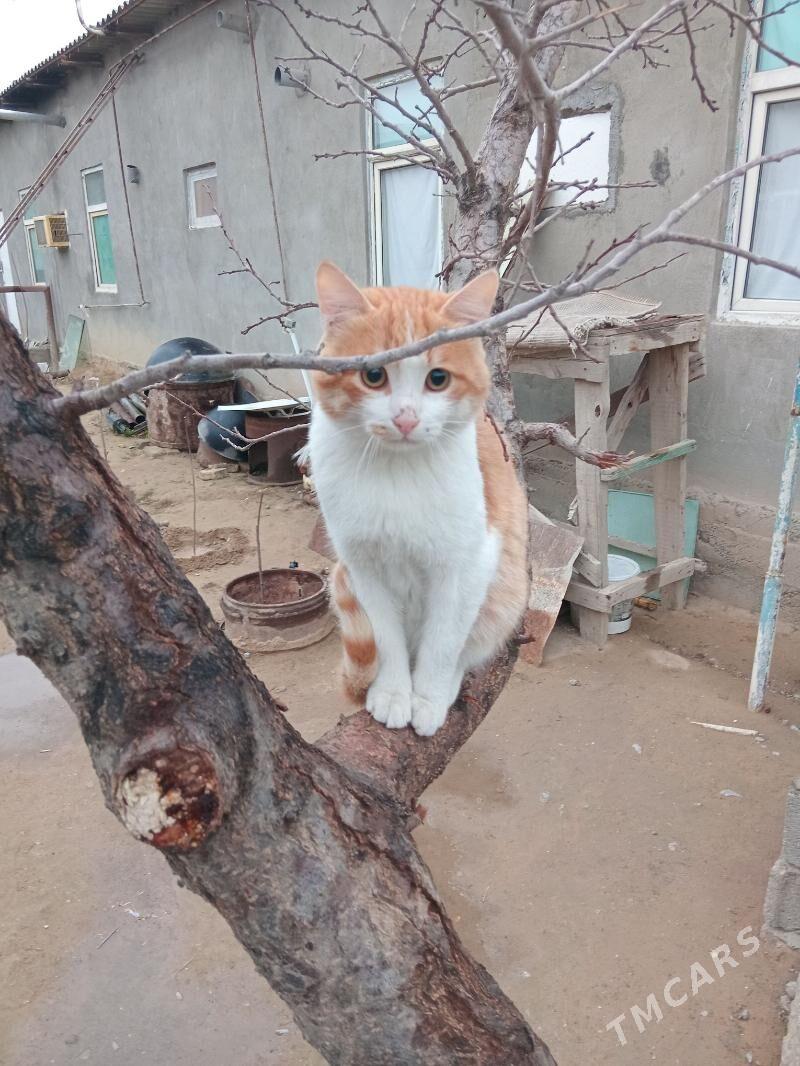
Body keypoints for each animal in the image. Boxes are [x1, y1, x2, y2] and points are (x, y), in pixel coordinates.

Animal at [308, 261, 528, 737]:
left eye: (437, 379)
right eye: (373, 375)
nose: (406, 418)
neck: (398, 471)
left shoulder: (468, 563)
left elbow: (444, 643)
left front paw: (427, 697)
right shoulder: (363, 566)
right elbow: (384, 638)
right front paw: (393, 693)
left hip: (505, 592)